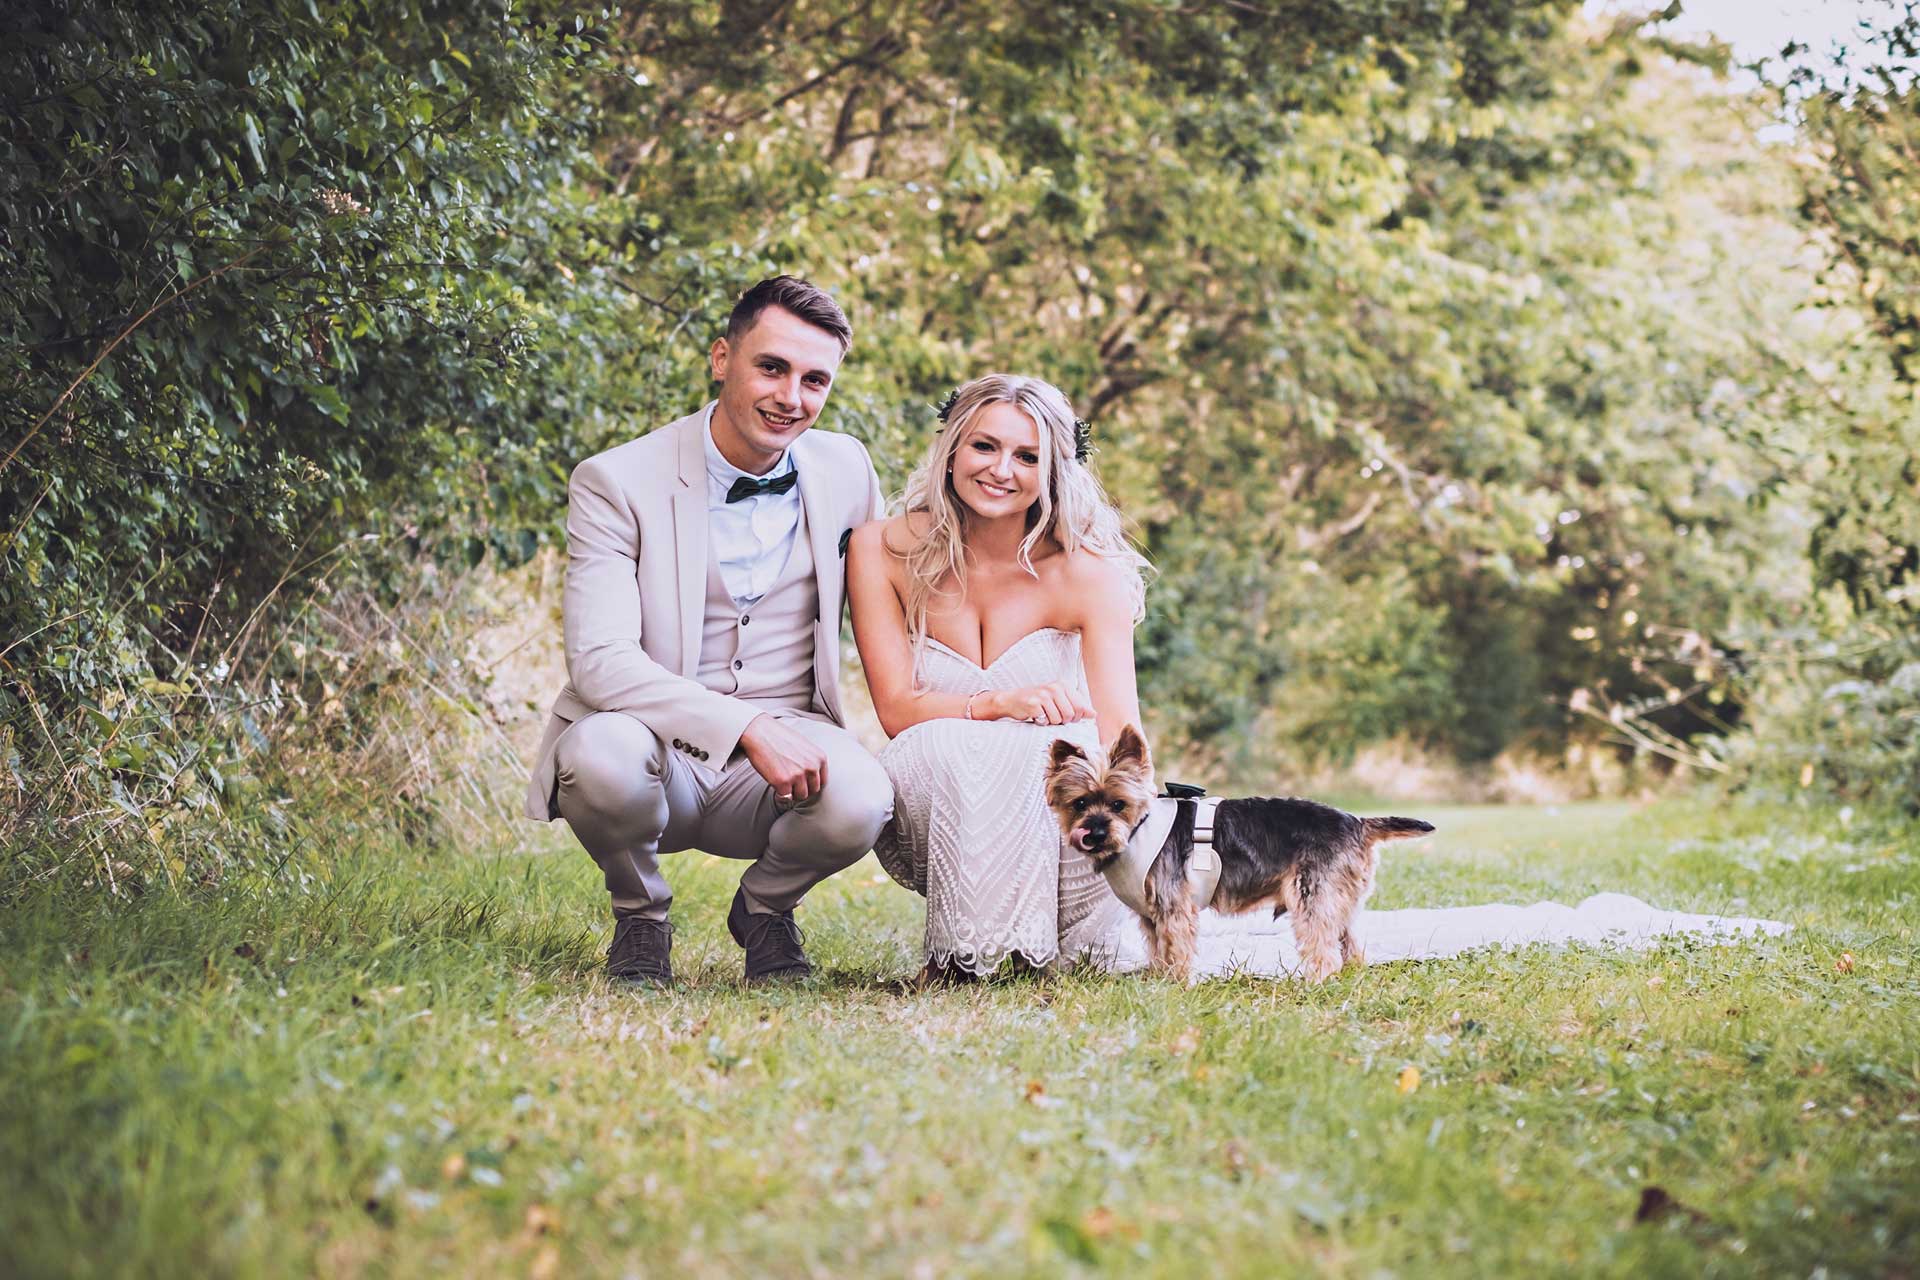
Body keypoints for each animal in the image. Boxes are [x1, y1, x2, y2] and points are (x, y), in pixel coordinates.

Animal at [1044, 725, 1436, 990]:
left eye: (1118, 804)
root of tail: (1357, 822)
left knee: (1323, 946)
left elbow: (1176, 948)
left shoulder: (1174, 908)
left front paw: (1175, 985)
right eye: (1079, 803)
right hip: (1339, 896)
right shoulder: (1152, 916)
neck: (1138, 829)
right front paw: (1157, 978)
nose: (1094, 833)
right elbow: (1158, 949)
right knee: (1349, 941)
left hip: (1314, 893)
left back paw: (1317, 983)